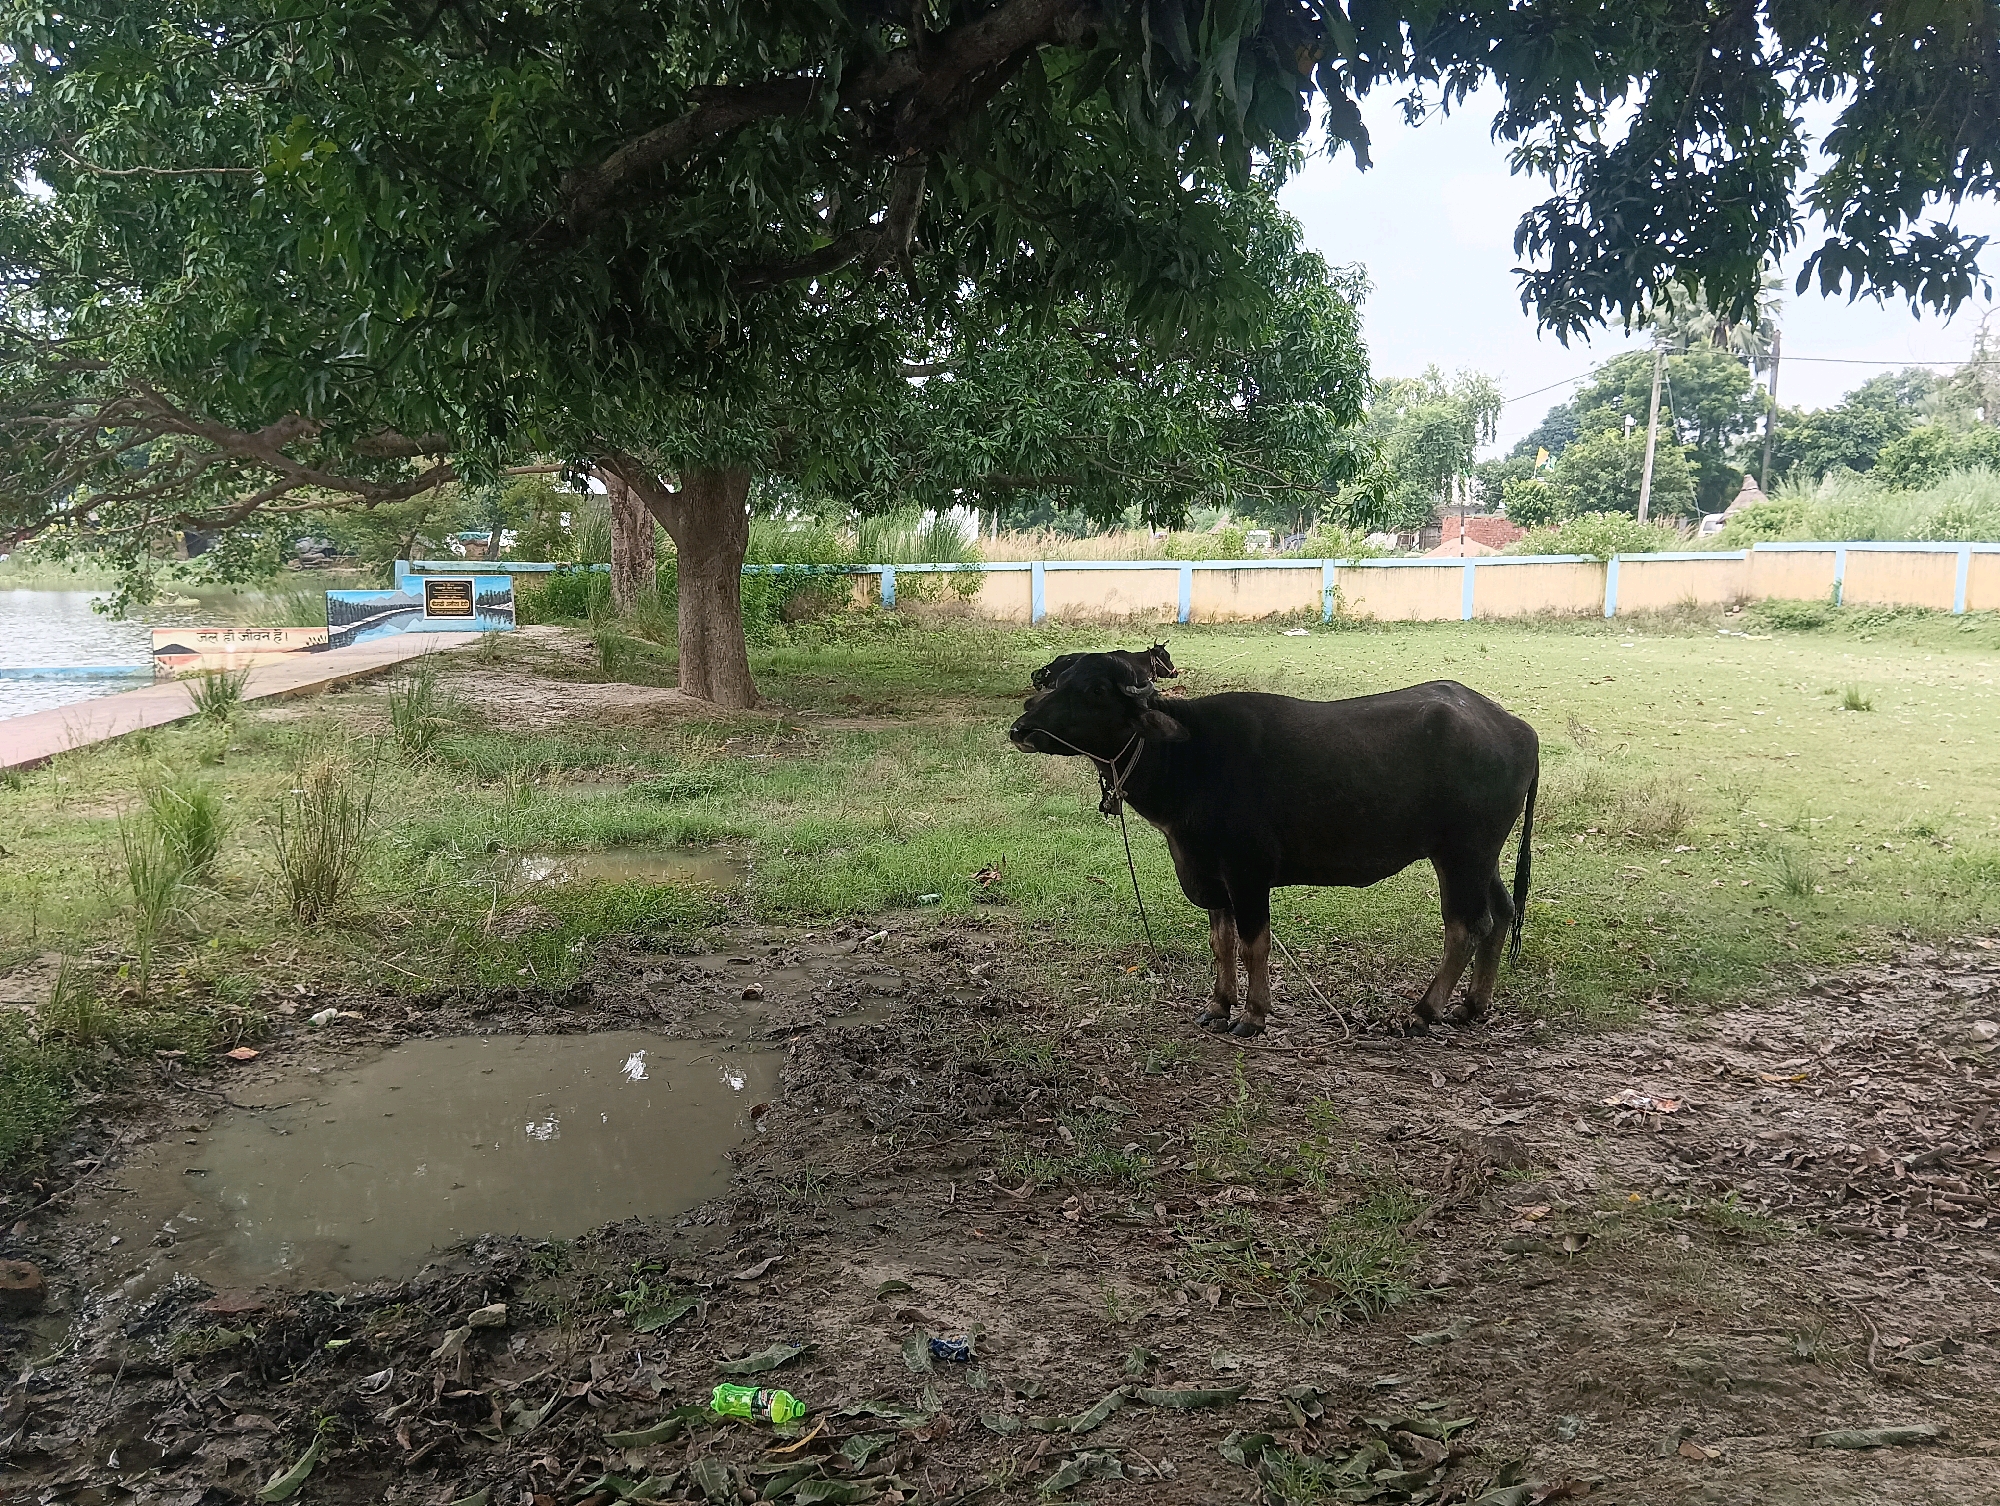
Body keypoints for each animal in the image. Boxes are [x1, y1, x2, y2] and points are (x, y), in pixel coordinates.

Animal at [1009, 653, 1538, 1036]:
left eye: (1096, 690)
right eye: (1058, 680)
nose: (1021, 729)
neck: (1191, 757)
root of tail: (1519, 730)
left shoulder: (1247, 874)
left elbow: (1253, 944)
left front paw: (1253, 1013)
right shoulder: (1209, 873)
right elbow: (1220, 942)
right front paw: (1218, 1005)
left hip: (1461, 853)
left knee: (1465, 927)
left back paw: (1424, 1012)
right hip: (1484, 856)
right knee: (1500, 914)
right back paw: (1472, 1005)